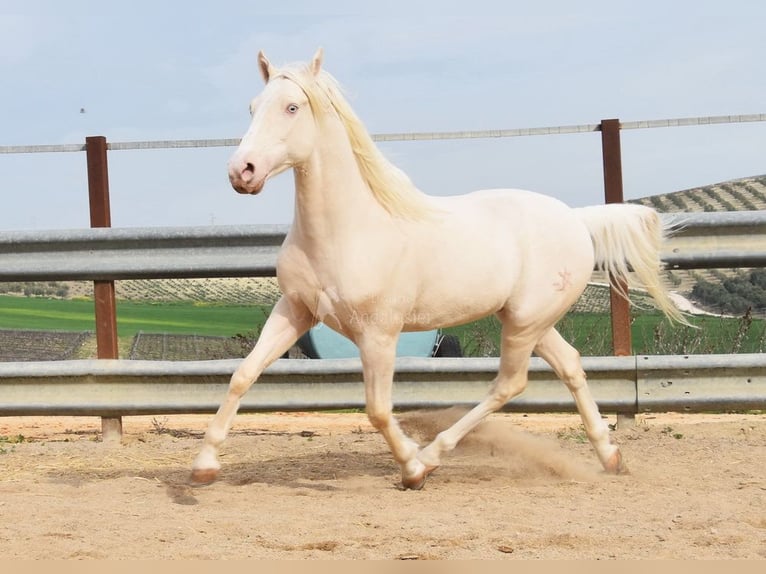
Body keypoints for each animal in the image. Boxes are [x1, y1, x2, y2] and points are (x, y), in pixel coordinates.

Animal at [190, 48, 684, 490]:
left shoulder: (379, 333)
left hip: (525, 323)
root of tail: (577, 219)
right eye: (253, 107)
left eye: (292, 107)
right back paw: (610, 456)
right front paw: (203, 467)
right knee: (571, 366)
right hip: (531, 322)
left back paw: (431, 457)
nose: (242, 172)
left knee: (509, 384)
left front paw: (410, 468)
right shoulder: (295, 311)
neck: (348, 228)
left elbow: (378, 410)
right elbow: (242, 375)